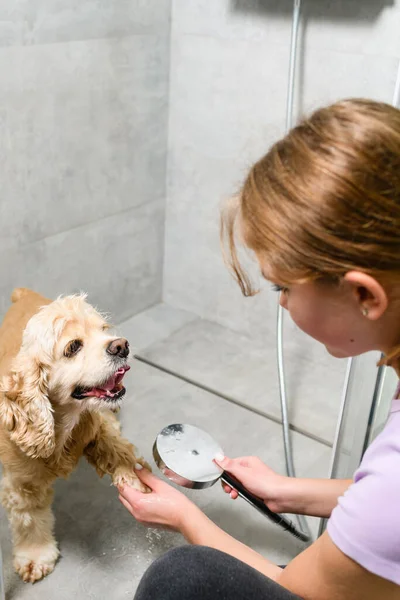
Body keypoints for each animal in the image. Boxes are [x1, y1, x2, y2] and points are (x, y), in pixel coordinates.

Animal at [0, 288, 148, 584]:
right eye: (73, 347)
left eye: (103, 330)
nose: (121, 345)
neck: (61, 422)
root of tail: (24, 293)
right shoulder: (22, 483)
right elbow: (28, 519)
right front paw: (35, 557)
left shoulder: (94, 426)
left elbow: (114, 447)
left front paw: (133, 477)